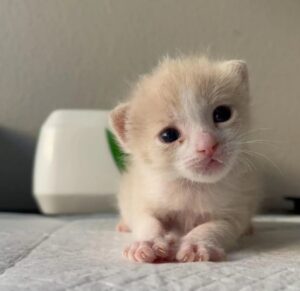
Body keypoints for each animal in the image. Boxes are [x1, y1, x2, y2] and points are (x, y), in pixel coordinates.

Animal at [109, 56, 260, 264]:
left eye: (222, 114)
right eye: (168, 135)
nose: (208, 145)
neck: (192, 187)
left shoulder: (235, 210)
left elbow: (213, 227)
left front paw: (196, 244)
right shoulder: (142, 197)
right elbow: (147, 221)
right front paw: (147, 242)